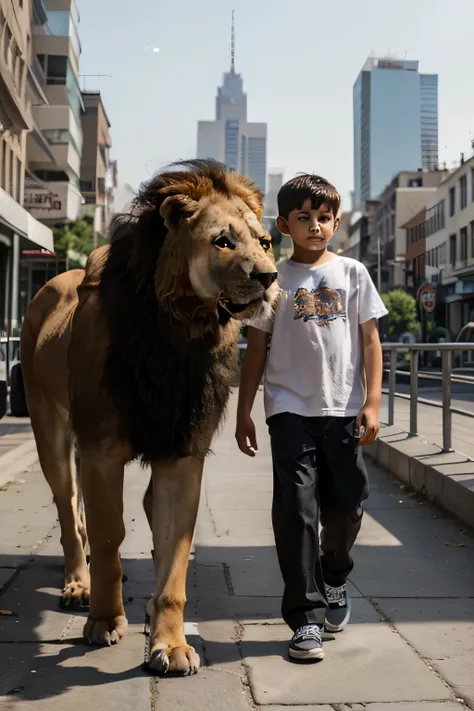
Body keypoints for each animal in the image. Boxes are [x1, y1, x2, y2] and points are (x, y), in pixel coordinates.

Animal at [19, 161, 278, 680]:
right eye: (223, 241)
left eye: (264, 241)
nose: (269, 276)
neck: (181, 335)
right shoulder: (100, 449)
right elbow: (108, 533)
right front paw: (103, 620)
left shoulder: (183, 452)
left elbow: (174, 548)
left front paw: (171, 643)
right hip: (47, 425)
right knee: (68, 506)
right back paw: (79, 585)